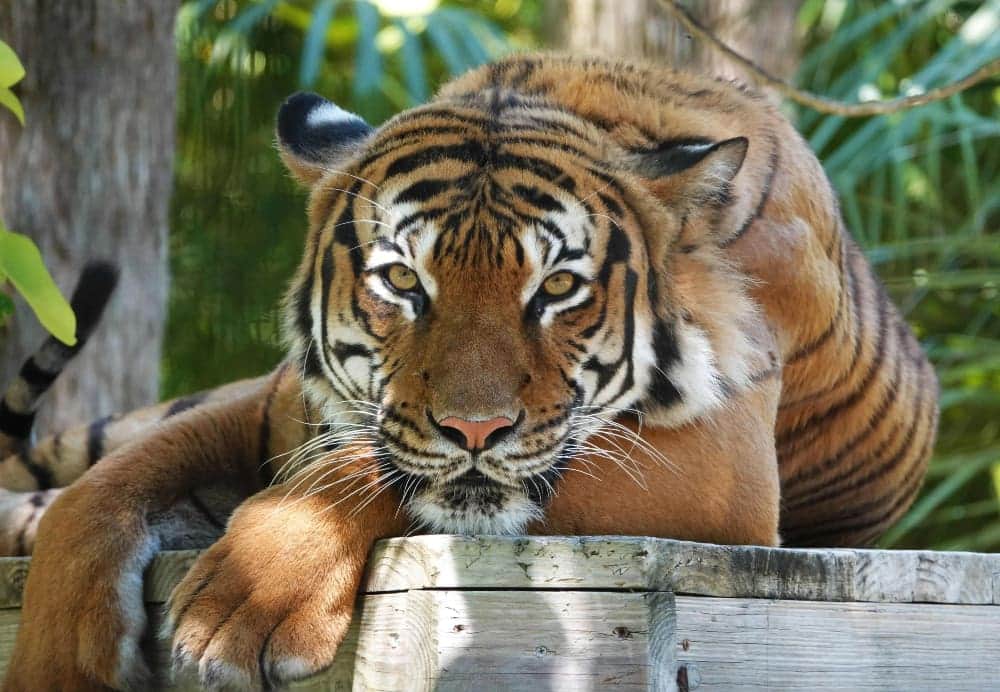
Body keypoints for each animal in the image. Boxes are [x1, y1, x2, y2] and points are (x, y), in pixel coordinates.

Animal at [4, 53, 937, 690]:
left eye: (557, 287)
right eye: (402, 281)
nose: (475, 430)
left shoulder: (724, 472)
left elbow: (358, 471)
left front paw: (245, 602)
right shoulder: (273, 406)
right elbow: (102, 493)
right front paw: (56, 660)